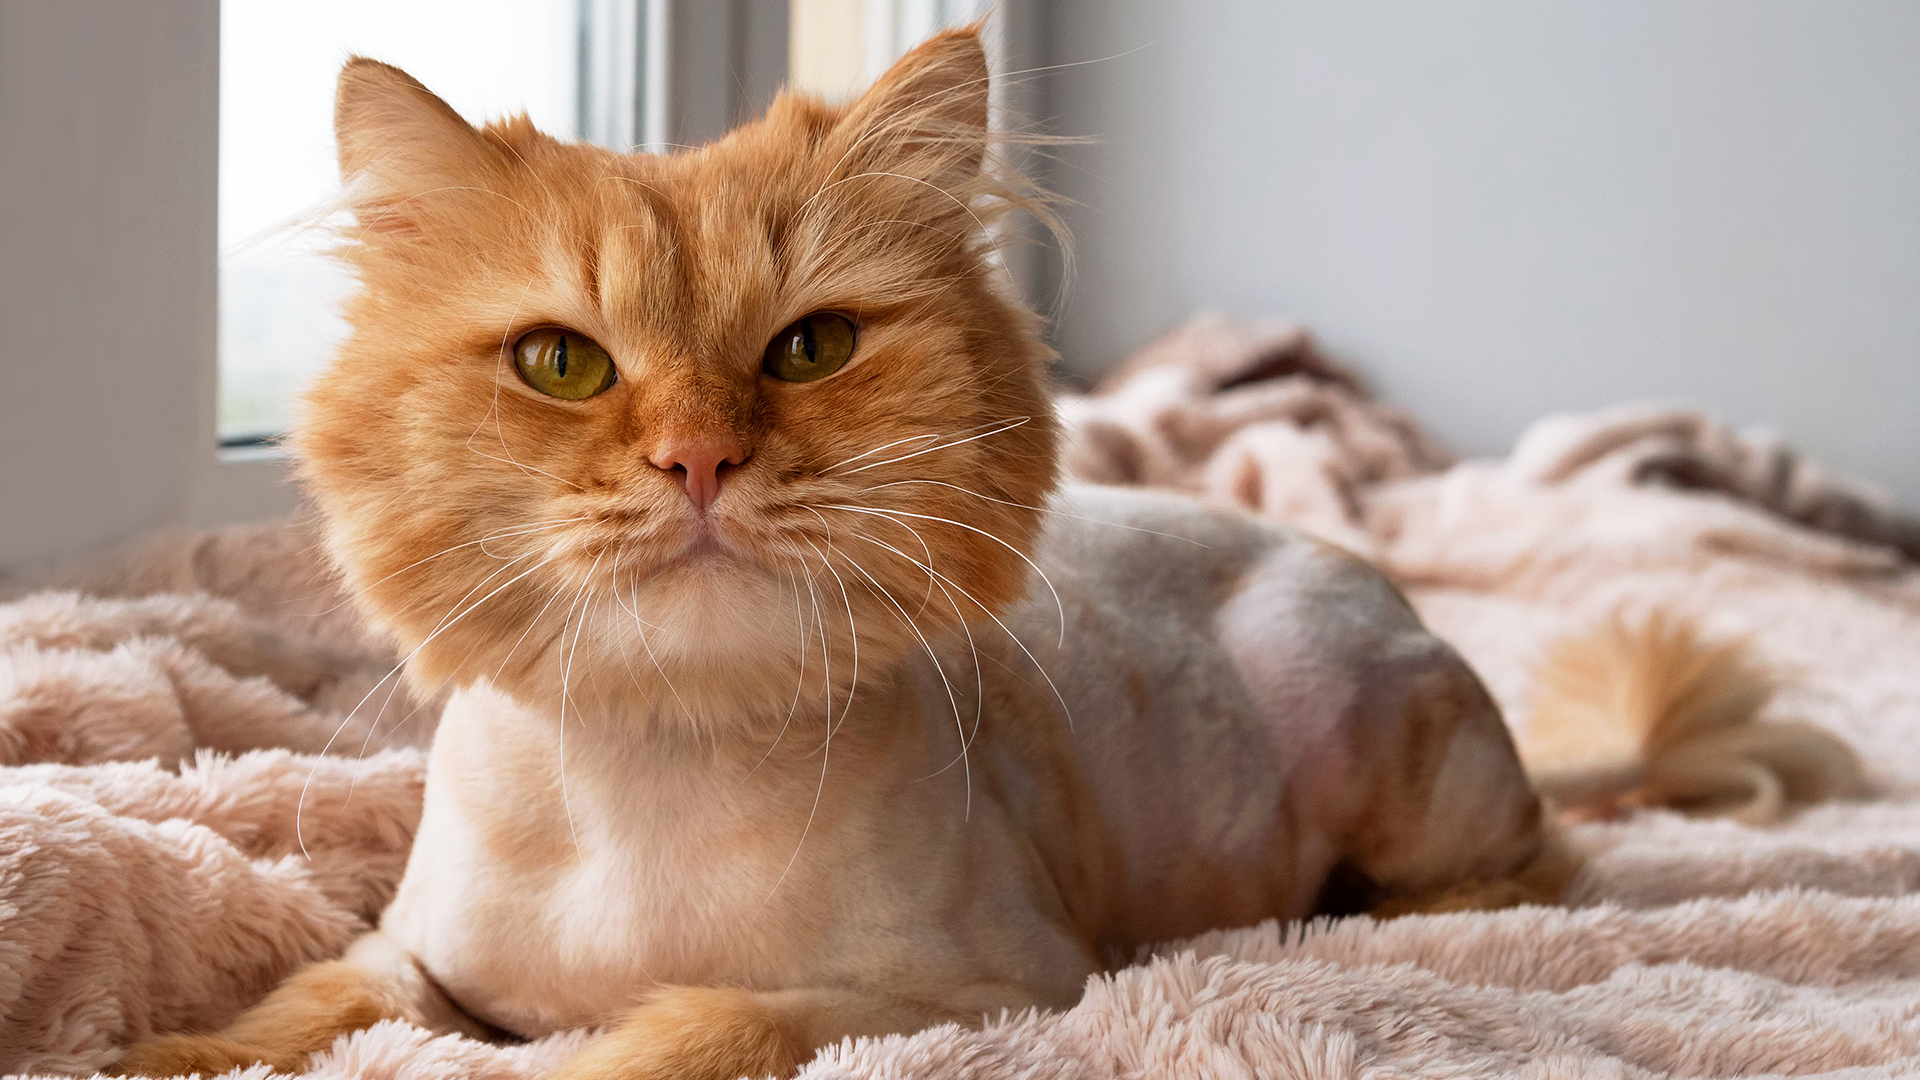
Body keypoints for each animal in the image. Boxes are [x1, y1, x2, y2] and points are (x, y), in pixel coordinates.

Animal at [119, 26, 1565, 1080]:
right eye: (561, 365)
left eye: (810, 349)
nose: (698, 460)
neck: (657, 766)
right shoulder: (411, 960)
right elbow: (296, 1012)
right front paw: (153, 1049)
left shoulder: (997, 989)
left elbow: (689, 1029)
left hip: (1381, 742)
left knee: (1533, 866)